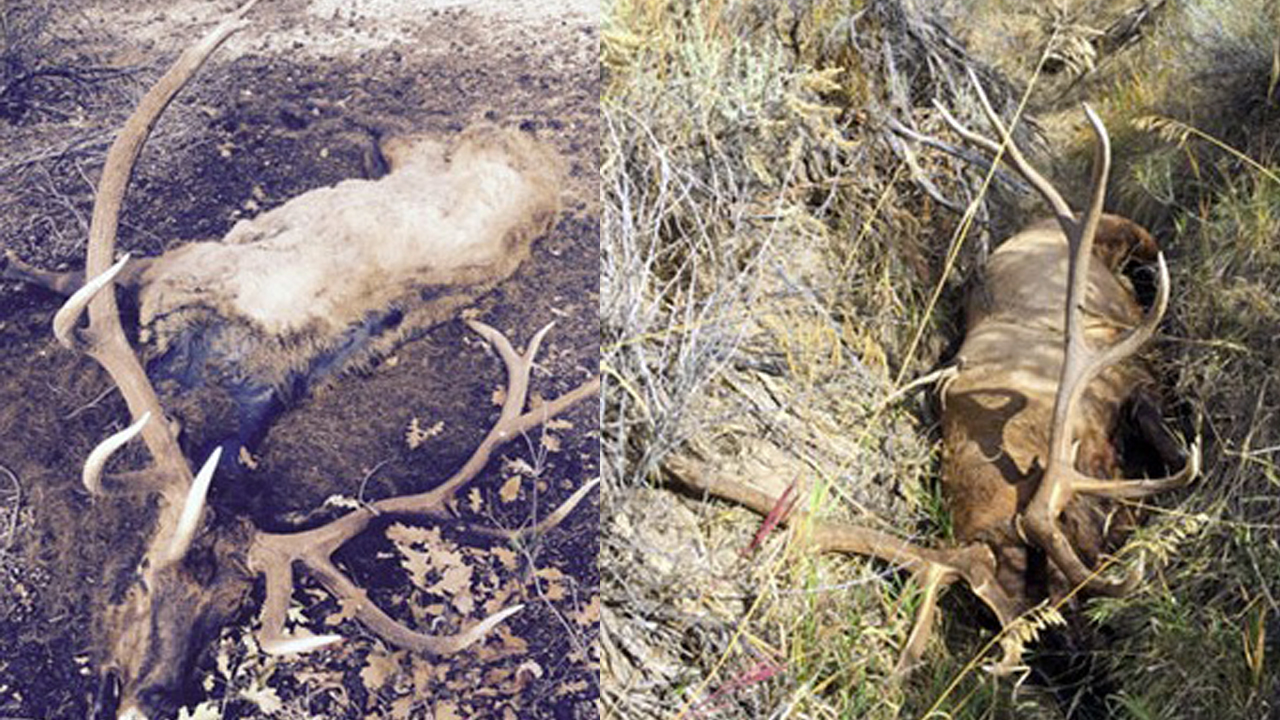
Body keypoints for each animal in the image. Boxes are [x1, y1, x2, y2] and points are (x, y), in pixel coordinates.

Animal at [5, 4, 599, 719]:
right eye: (144, 575)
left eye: (226, 612)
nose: (148, 700)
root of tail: (534, 153)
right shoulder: (173, 265)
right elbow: (66, 279)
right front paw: (12, 265)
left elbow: (66, 283)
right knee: (397, 130)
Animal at [663, 69, 1199, 676]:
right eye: (1005, 623)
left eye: (1051, 574)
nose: (1088, 669)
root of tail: (1051, 218)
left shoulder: (1128, 378)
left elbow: (1169, 440)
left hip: (1121, 231)